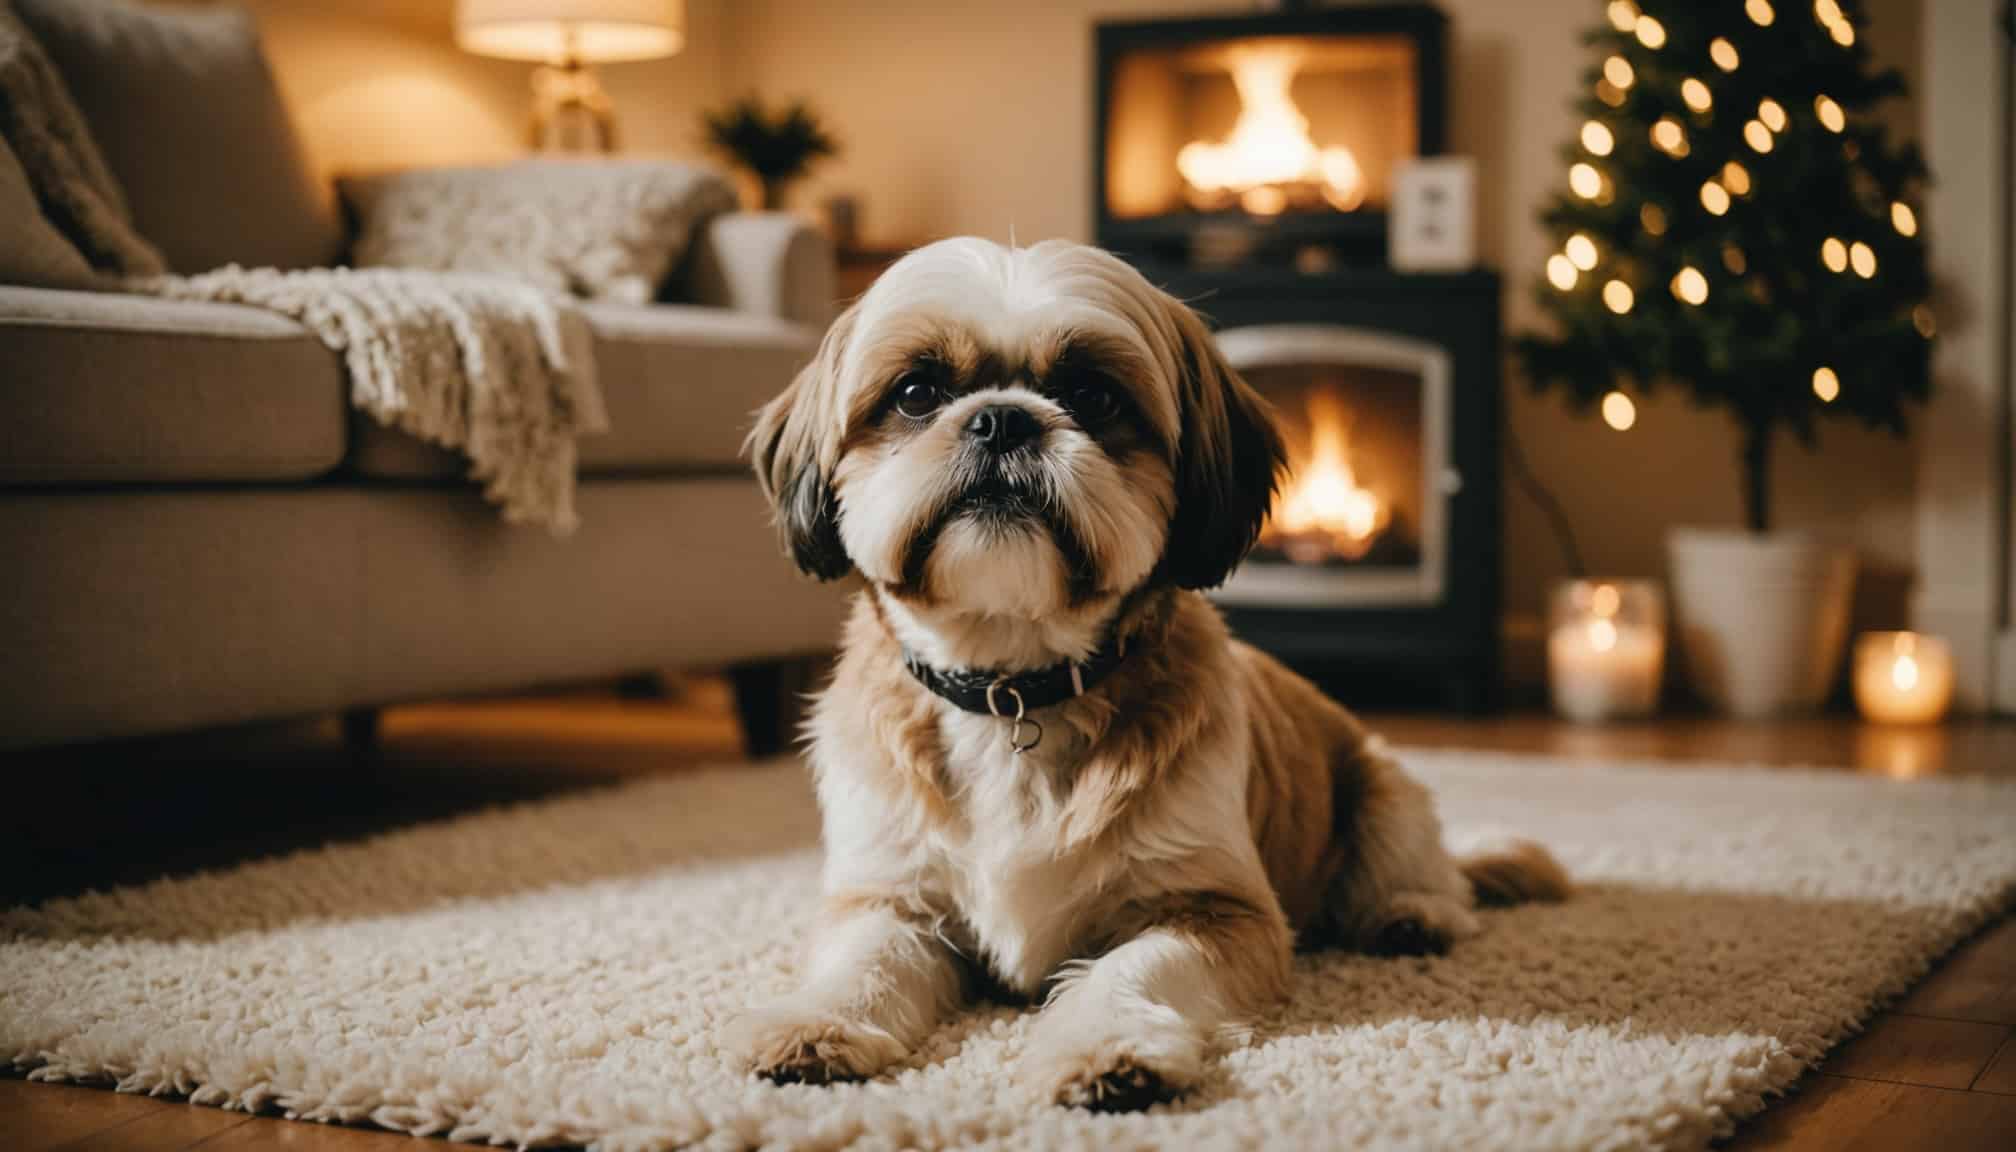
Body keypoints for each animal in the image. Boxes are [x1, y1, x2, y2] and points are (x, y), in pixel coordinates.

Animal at [733, 239, 1564, 1113]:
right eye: (918, 392)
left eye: (1092, 395)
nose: (1002, 418)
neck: (1011, 689)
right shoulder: (886, 895)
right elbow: (865, 962)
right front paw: (817, 1023)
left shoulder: (1215, 911)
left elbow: (1130, 969)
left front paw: (1108, 1047)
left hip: (1382, 787)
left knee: (1428, 876)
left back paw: (1413, 915)